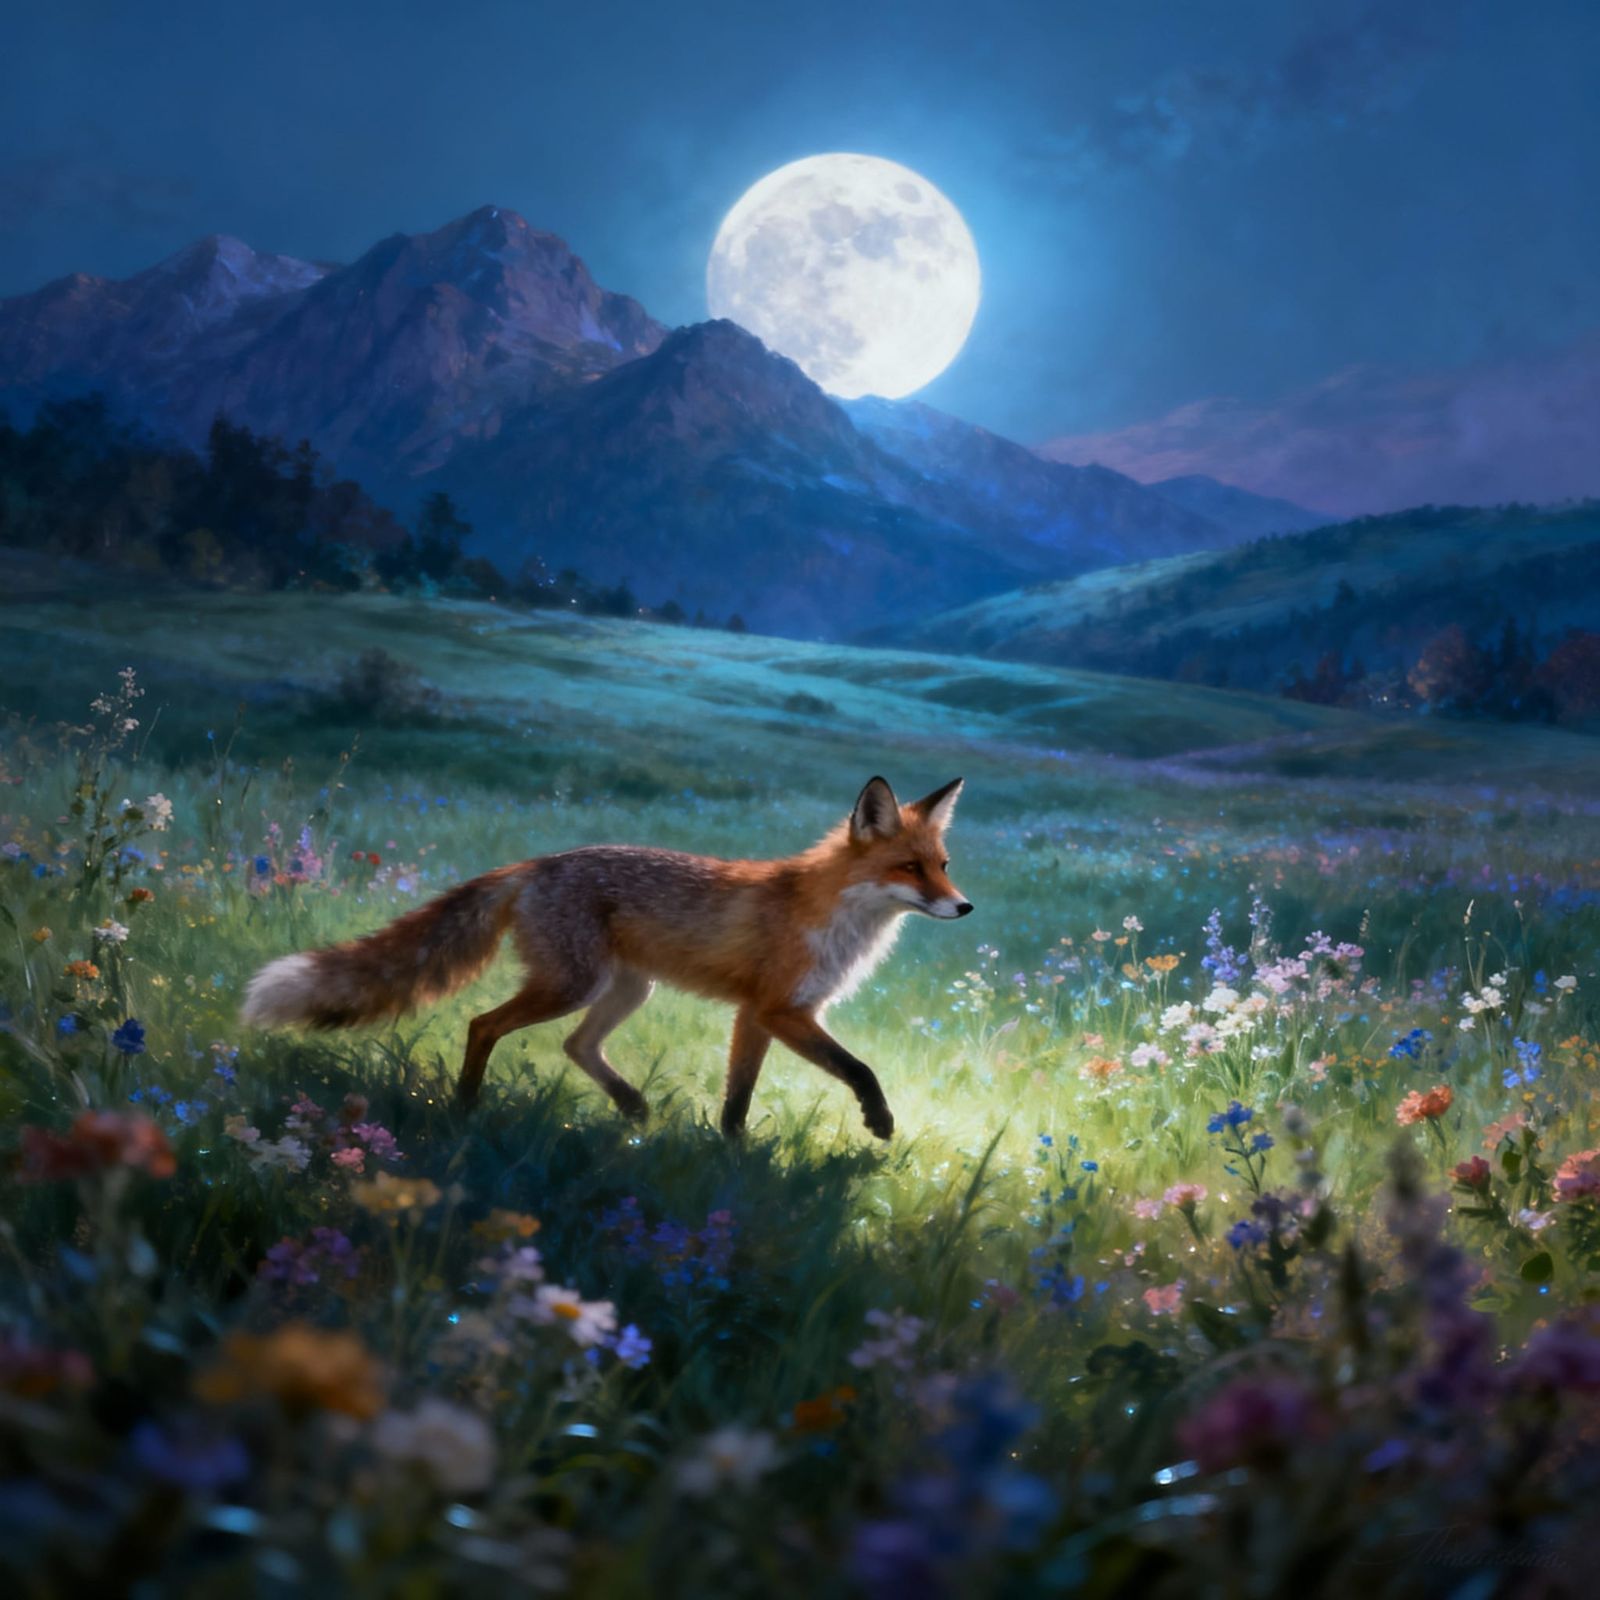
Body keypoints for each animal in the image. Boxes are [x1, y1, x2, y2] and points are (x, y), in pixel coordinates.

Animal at [240, 776, 971, 1139]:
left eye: (943, 865)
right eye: (910, 869)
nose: (964, 908)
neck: (833, 915)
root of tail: (535, 864)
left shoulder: (764, 1015)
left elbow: (738, 1097)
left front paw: (730, 1154)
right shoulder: (776, 1010)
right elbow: (861, 1068)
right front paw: (879, 1121)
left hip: (625, 991)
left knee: (575, 1046)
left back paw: (632, 1109)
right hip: (575, 984)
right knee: (483, 1024)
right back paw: (465, 1106)